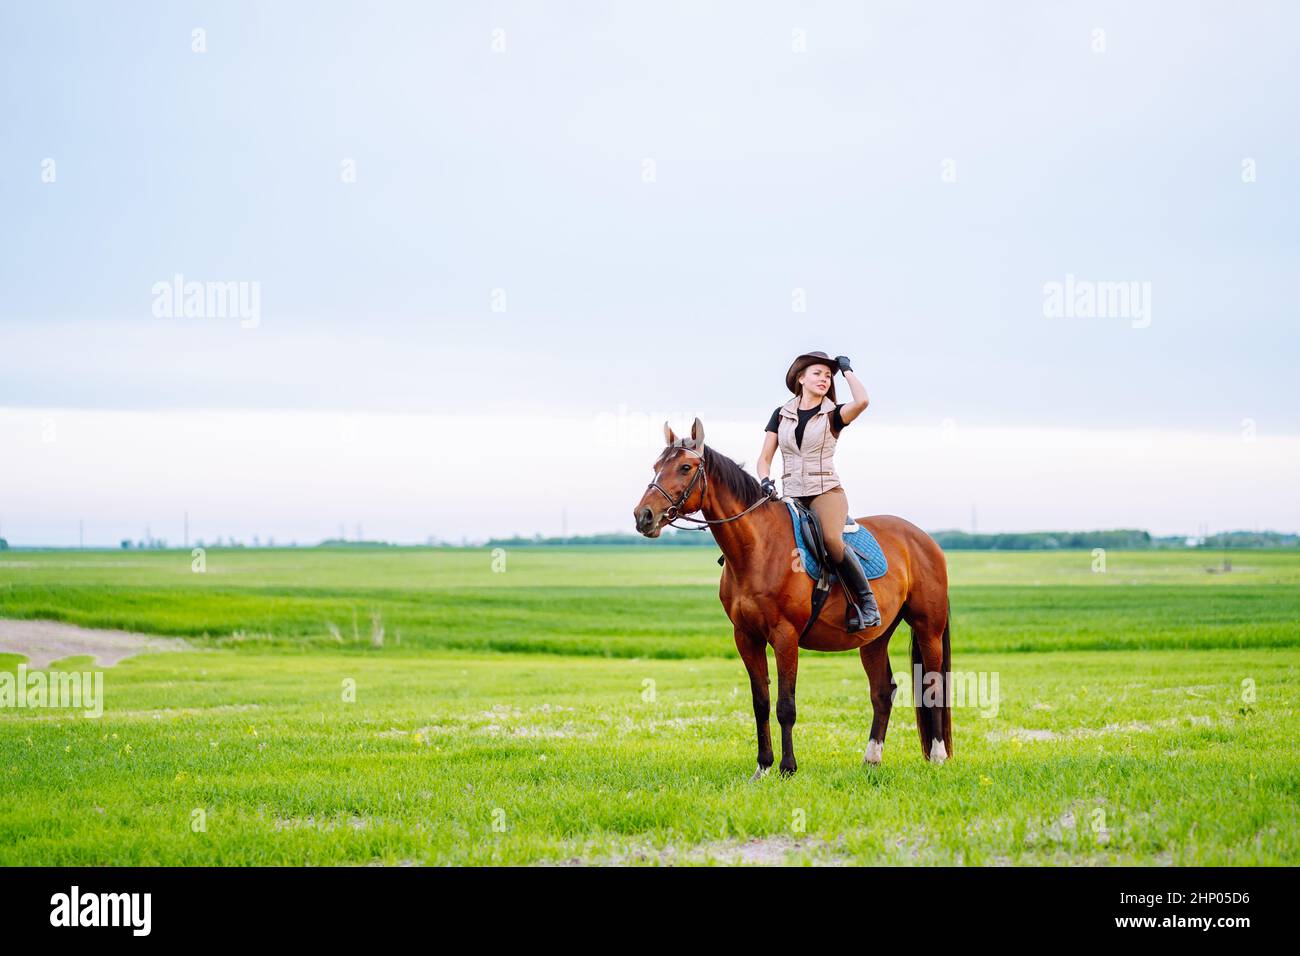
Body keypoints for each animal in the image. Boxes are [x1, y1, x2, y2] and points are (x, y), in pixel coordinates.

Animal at [631, 418, 956, 780]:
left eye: (685, 467)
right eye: (656, 467)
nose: (643, 516)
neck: (757, 548)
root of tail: (925, 540)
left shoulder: (784, 636)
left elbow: (785, 705)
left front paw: (787, 767)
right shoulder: (747, 637)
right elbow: (760, 702)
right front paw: (762, 766)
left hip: (928, 628)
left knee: (933, 688)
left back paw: (938, 756)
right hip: (874, 638)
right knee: (883, 692)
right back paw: (871, 759)